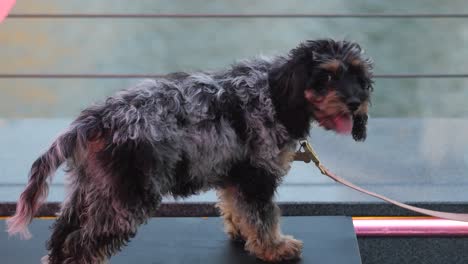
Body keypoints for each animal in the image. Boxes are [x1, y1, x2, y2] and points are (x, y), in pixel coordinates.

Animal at [6, 38, 372, 262]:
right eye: (327, 77)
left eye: (359, 75)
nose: (356, 103)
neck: (275, 93)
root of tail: (95, 119)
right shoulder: (256, 176)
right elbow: (263, 216)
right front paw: (274, 247)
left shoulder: (236, 175)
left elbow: (237, 209)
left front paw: (243, 235)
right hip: (125, 199)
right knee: (81, 245)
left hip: (92, 189)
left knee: (62, 236)